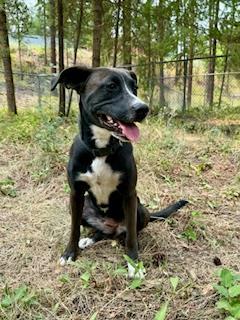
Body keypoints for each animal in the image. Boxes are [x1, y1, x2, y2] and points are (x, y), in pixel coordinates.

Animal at [52, 67, 188, 278]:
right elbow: (74, 228)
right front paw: (69, 253)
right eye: (111, 86)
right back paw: (90, 239)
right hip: (84, 207)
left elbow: (131, 235)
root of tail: (111, 226)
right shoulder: (75, 194)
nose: (143, 109)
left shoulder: (129, 194)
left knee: (129, 232)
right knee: (100, 232)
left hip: (140, 210)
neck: (101, 149)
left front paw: (134, 263)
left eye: (134, 87)